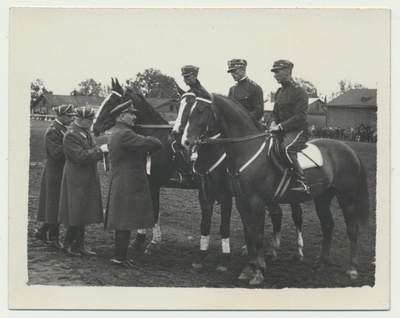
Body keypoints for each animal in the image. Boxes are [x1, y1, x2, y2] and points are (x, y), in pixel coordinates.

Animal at [183, 94, 370, 286]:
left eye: (199, 111)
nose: (186, 142)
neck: (247, 149)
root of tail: (349, 149)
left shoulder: (256, 202)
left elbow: (258, 236)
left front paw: (258, 272)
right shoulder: (242, 202)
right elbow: (249, 235)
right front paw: (248, 269)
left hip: (346, 198)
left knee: (352, 229)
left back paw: (352, 269)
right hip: (323, 198)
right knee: (327, 226)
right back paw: (321, 263)